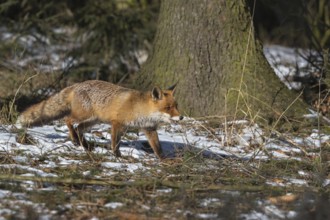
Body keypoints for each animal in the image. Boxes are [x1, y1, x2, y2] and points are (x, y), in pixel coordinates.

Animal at [17, 80, 183, 159]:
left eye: (176, 106)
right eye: (168, 108)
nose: (181, 117)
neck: (141, 109)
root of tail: (77, 84)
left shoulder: (149, 129)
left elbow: (157, 147)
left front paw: (164, 160)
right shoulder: (117, 124)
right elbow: (115, 142)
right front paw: (117, 156)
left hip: (94, 120)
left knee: (79, 128)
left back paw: (85, 145)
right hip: (85, 116)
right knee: (68, 120)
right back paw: (75, 140)